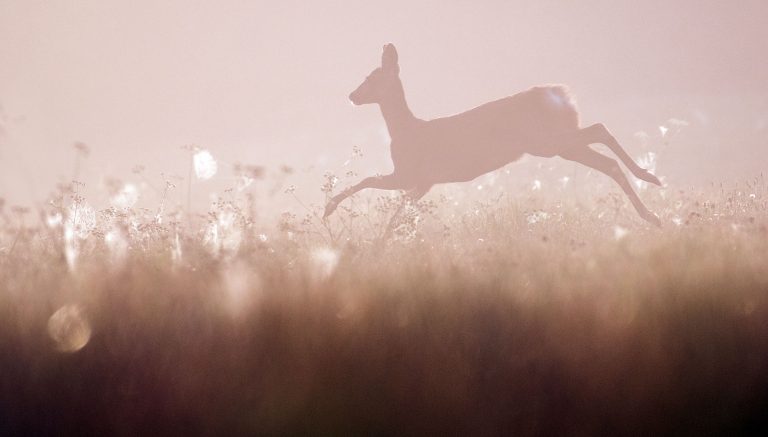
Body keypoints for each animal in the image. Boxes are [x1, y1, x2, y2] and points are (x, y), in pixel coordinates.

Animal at [320, 44, 664, 227]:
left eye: (371, 77)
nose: (352, 95)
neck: (405, 130)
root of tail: (560, 94)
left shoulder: (410, 174)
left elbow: (368, 182)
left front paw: (330, 208)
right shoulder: (422, 183)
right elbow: (397, 211)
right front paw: (385, 238)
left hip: (547, 141)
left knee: (600, 129)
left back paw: (650, 182)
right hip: (558, 143)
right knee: (606, 159)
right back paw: (651, 209)